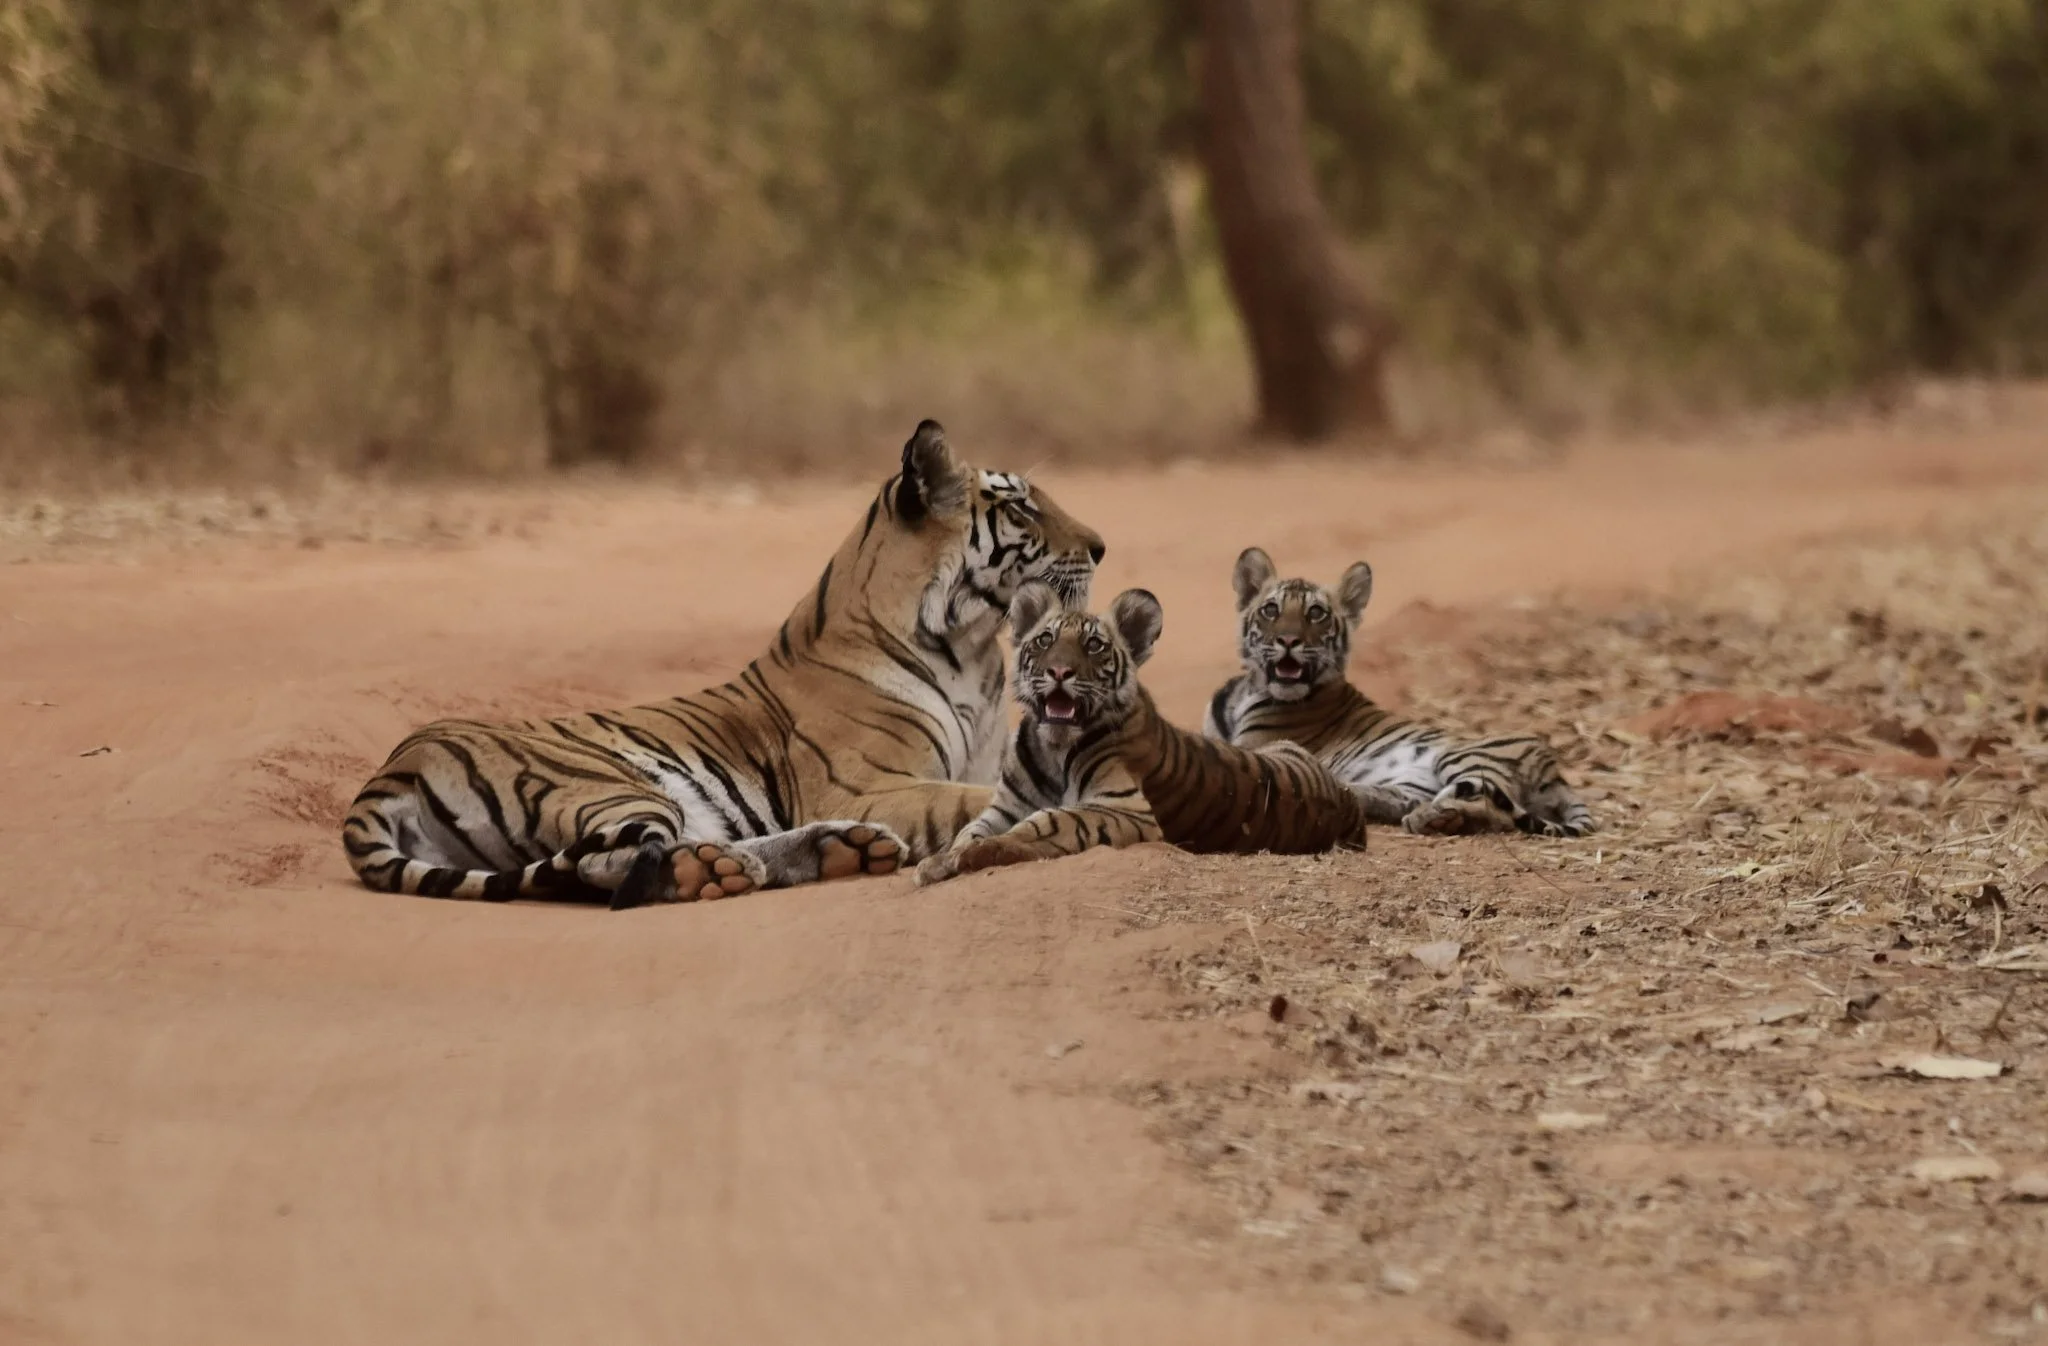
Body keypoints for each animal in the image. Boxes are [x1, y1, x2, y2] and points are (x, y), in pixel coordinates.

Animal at [343, 420, 1105, 909]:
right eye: (1021, 507)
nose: (1101, 546)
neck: (972, 647)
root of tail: (391, 769)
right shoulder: (867, 784)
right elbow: (972, 801)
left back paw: (841, 852)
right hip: (609, 785)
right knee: (604, 866)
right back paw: (721, 871)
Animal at [914, 581, 1368, 886]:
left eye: (1093, 646)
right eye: (1045, 639)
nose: (1059, 671)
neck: (1053, 748)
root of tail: (1346, 798)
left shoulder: (1127, 808)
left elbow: (1050, 820)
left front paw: (983, 853)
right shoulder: (1005, 806)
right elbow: (970, 829)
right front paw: (941, 861)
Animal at [1202, 547, 1594, 837]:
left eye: (1316, 613)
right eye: (1271, 610)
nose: (1288, 640)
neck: (1248, 689)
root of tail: (1555, 770)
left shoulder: (1256, 747)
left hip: (1464, 757)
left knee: (1493, 809)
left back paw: (1431, 818)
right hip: (1412, 783)